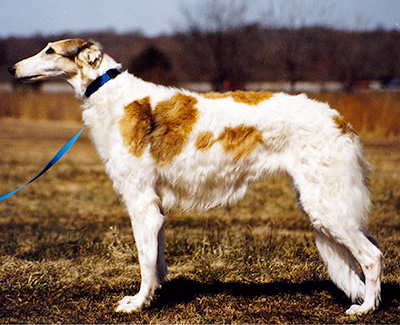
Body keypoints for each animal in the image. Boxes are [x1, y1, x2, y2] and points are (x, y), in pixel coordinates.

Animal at [10, 38, 384, 314]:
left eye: (50, 50)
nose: (12, 68)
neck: (111, 94)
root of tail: (340, 119)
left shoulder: (141, 202)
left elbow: (144, 260)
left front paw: (136, 303)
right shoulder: (155, 206)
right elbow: (156, 262)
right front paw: (154, 294)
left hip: (326, 207)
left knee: (373, 256)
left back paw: (365, 308)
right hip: (323, 202)